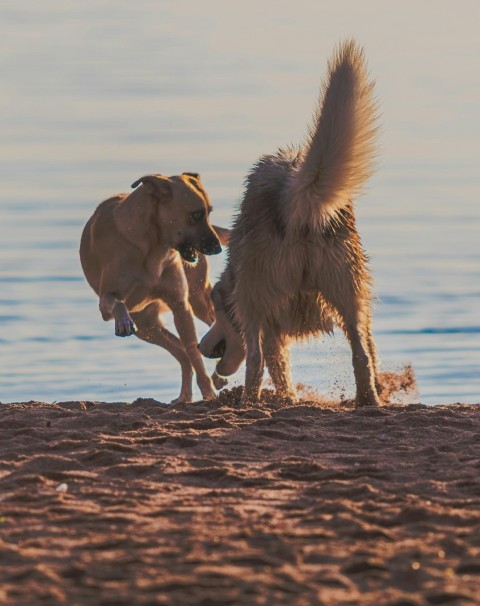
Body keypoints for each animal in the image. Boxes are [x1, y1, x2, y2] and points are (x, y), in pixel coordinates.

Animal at [79, 173, 230, 406]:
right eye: (196, 214)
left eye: (209, 212)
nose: (217, 248)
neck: (152, 247)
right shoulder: (105, 303)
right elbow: (116, 302)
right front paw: (122, 321)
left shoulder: (180, 304)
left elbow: (194, 351)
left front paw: (209, 392)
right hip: (147, 327)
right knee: (181, 353)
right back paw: (184, 397)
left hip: (197, 299)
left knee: (203, 335)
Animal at [199, 42, 382, 408]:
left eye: (216, 311)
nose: (200, 347)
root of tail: (296, 195)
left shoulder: (266, 322)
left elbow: (271, 365)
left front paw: (285, 398)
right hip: (349, 292)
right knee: (361, 354)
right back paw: (369, 401)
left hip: (254, 299)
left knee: (255, 363)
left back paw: (249, 403)